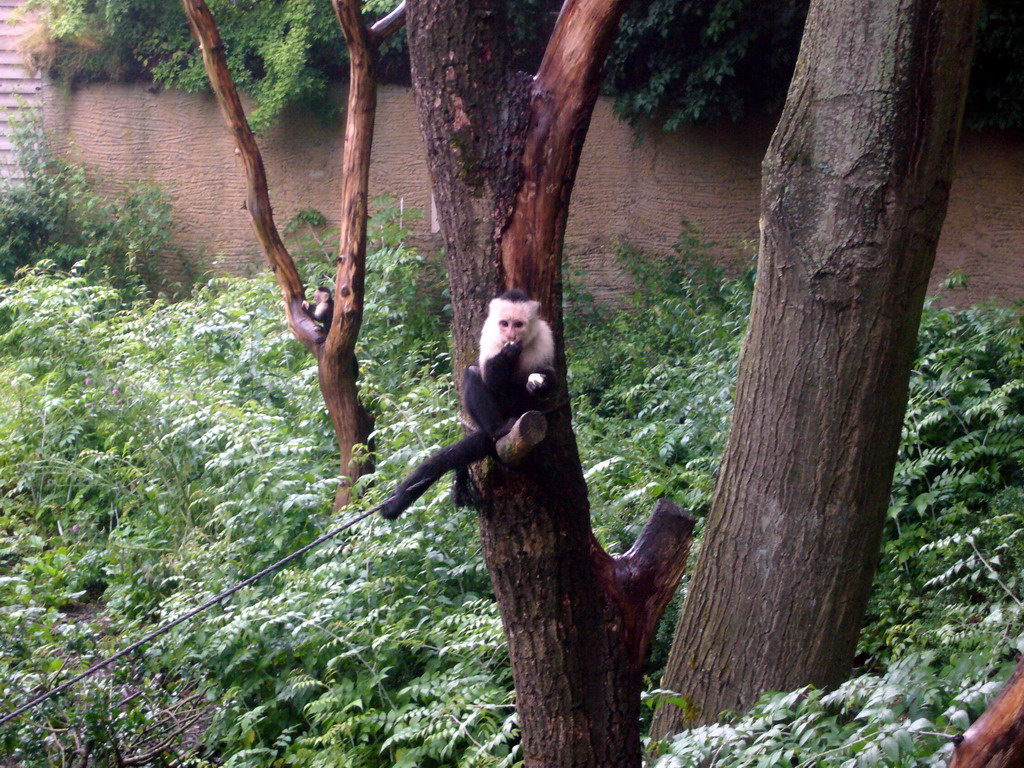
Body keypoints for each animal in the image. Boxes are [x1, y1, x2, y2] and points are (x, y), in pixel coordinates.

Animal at [378, 290, 552, 524]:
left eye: (518, 324)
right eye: (504, 324)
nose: (510, 335)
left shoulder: (545, 336)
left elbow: (549, 375)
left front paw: (539, 383)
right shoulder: (490, 336)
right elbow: (490, 379)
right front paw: (508, 354)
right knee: (473, 373)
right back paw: (499, 428)